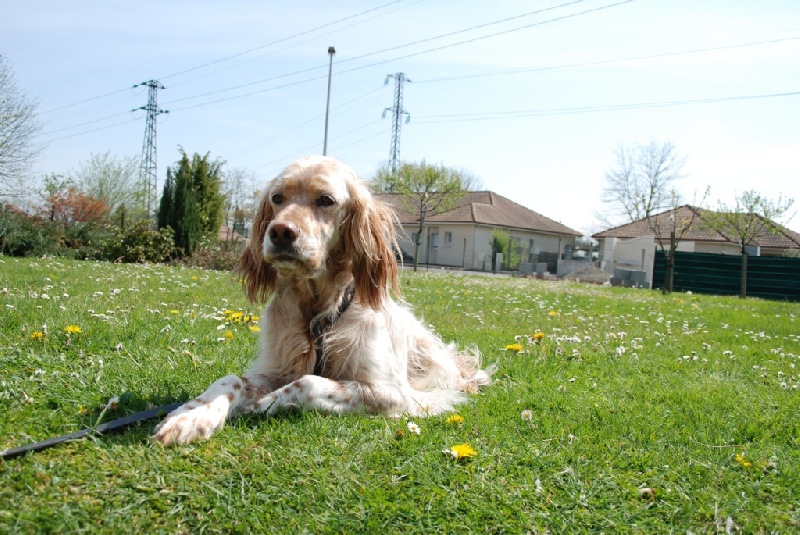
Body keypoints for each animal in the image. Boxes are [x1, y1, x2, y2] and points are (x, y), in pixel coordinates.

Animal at [150, 156, 488, 448]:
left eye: (326, 200)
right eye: (277, 198)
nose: (280, 232)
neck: (318, 312)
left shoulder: (393, 393)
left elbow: (310, 383)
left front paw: (268, 402)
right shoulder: (276, 368)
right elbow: (230, 380)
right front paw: (191, 415)